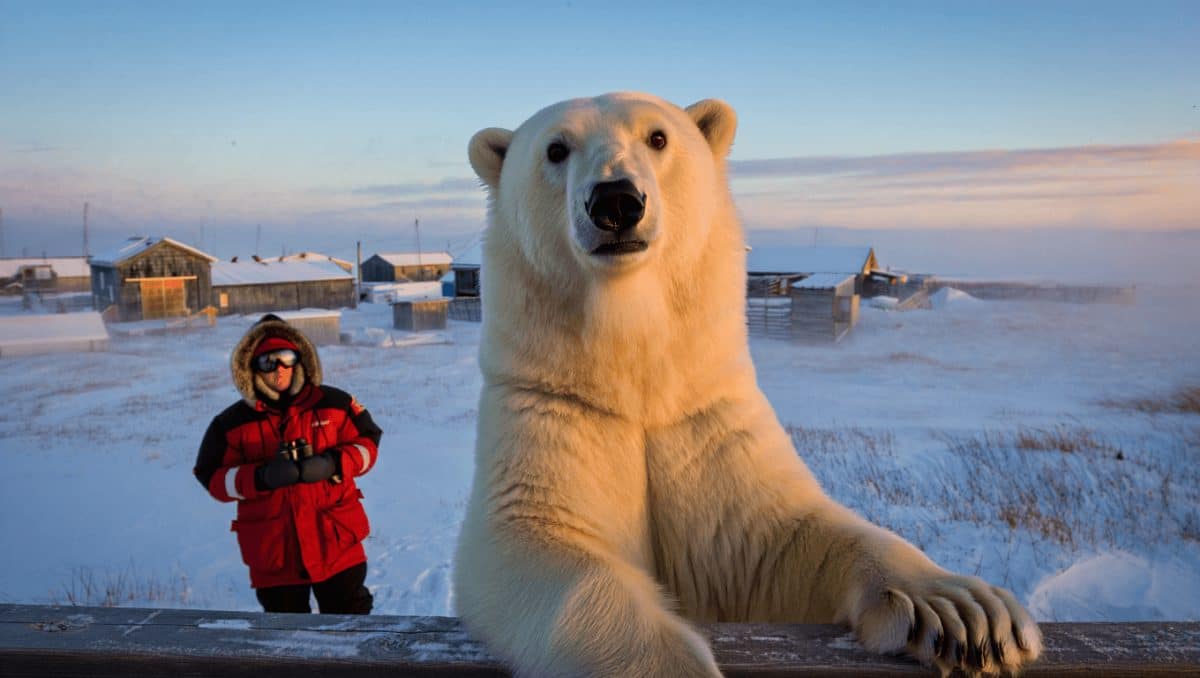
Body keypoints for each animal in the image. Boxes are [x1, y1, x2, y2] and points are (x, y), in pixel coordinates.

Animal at [454, 92, 1041, 677]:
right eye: (555, 149)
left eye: (658, 137)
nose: (616, 200)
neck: (634, 371)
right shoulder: (551, 406)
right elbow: (537, 538)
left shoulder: (705, 417)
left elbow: (780, 537)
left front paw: (964, 614)